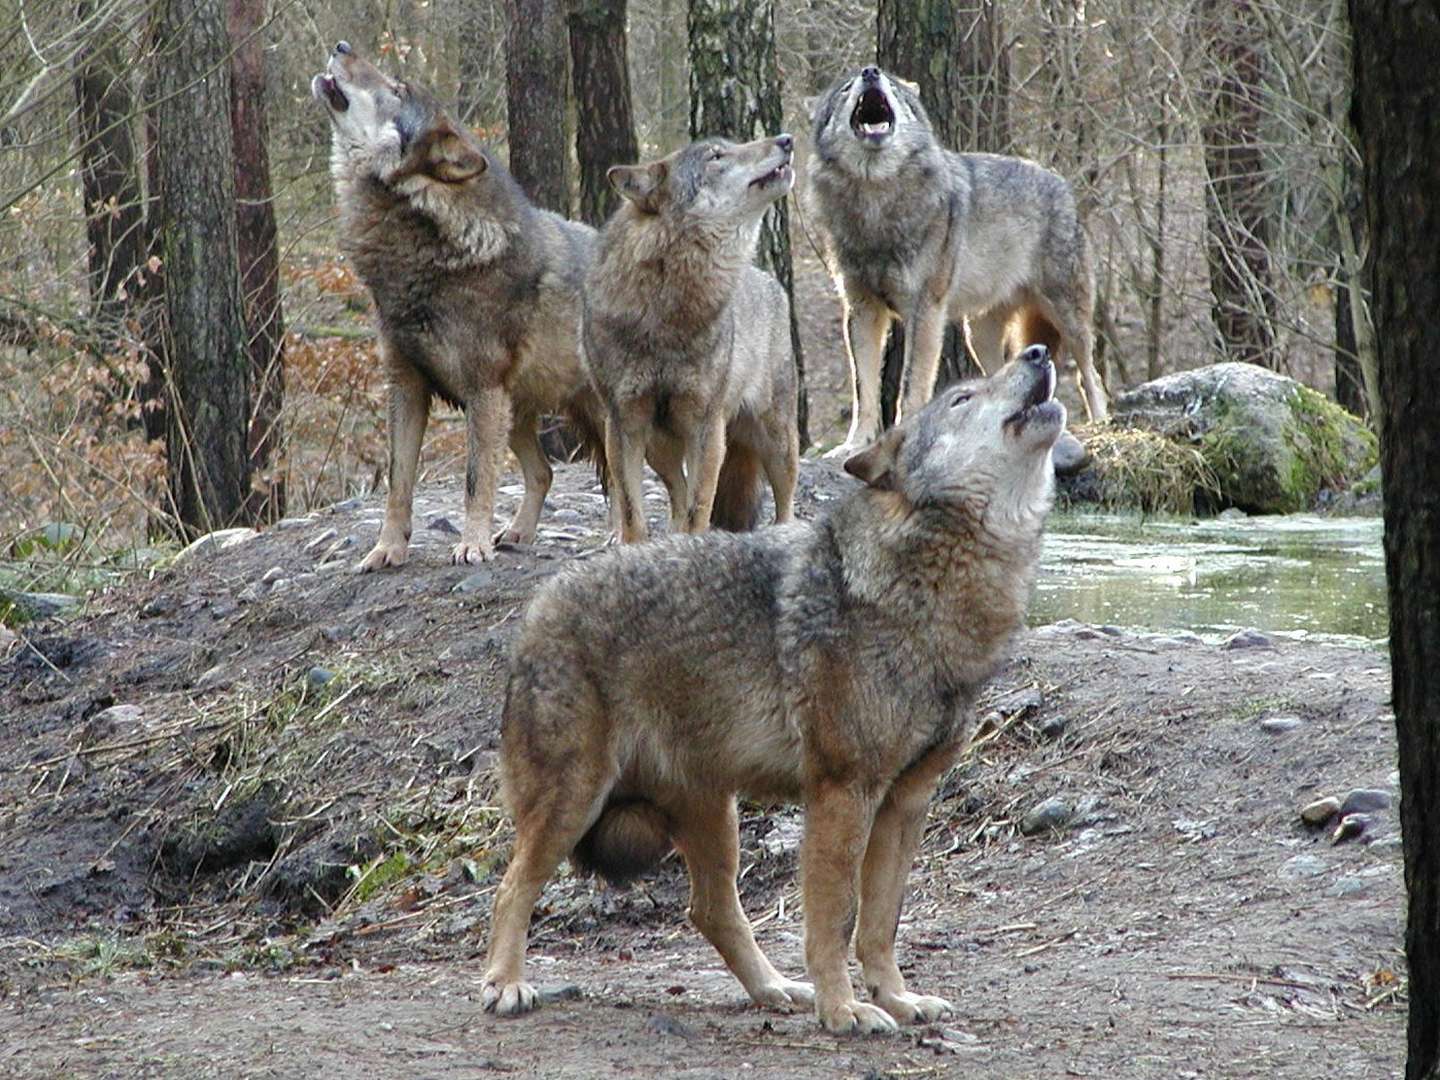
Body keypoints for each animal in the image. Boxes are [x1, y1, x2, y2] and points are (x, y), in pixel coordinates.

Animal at [312, 40, 604, 576]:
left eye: (397, 89)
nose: (341, 45)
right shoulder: (407, 387)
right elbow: (398, 483)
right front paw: (387, 549)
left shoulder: (482, 389)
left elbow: (473, 481)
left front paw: (472, 545)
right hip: (515, 415)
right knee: (545, 472)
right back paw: (518, 534)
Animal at [478, 344, 1065, 1031]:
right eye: (964, 398)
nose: (1038, 352)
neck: (930, 586)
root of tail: (536, 609)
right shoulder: (842, 792)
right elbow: (833, 922)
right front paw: (845, 1011)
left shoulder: (906, 801)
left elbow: (880, 927)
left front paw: (895, 999)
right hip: (574, 801)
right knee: (512, 887)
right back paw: (505, 984)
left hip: (714, 814)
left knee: (709, 910)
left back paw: (775, 989)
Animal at [584, 135, 812, 541]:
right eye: (716, 156)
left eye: (729, 146)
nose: (786, 139)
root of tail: (770, 281)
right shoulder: (624, 422)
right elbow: (632, 511)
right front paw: (634, 548)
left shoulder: (706, 425)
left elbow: (699, 509)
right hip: (660, 446)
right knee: (676, 489)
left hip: (777, 439)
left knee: (784, 501)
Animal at [812, 65, 1100, 457]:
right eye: (845, 88)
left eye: (893, 87)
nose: (871, 71)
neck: (876, 199)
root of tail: (1061, 183)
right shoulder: (862, 310)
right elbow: (863, 389)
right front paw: (854, 445)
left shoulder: (925, 311)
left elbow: (910, 385)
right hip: (977, 336)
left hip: (1067, 318)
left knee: (1090, 375)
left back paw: (1102, 421)